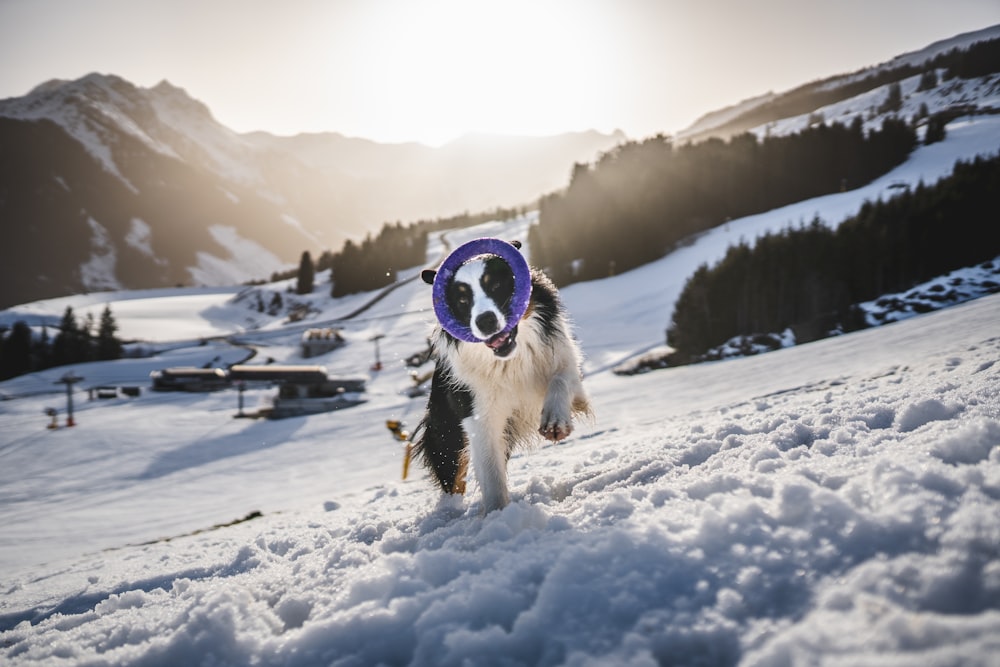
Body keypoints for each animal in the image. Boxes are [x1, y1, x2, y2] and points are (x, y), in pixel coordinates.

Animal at [416, 243, 592, 516]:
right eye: (462, 300)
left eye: (496, 286)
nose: (485, 321)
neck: (509, 360)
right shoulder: (479, 417)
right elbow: (491, 475)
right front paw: (497, 515)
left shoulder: (566, 363)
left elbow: (560, 380)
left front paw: (555, 422)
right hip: (447, 433)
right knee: (453, 478)